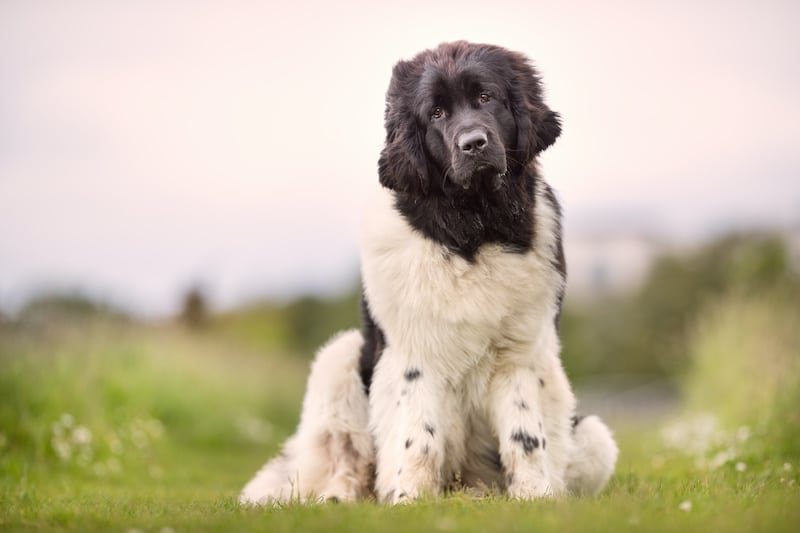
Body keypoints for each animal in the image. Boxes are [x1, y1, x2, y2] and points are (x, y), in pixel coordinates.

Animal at [241, 40, 616, 502]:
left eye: (486, 97)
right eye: (435, 113)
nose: (473, 143)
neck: (472, 229)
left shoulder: (521, 352)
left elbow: (525, 435)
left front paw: (534, 496)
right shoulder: (413, 351)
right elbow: (417, 436)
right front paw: (409, 499)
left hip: (594, 437)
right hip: (339, 357)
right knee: (343, 459)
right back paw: (338, 499)